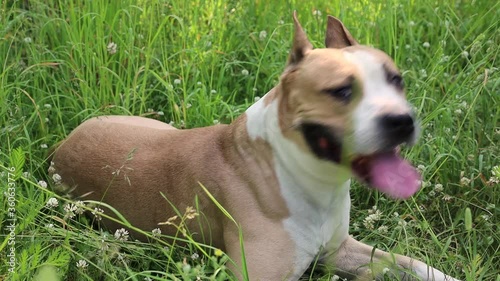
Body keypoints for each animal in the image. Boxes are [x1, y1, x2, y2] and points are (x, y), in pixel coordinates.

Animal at [50, 12, 460, 278]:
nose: (402, 121)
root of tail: (66, 142)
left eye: (397, 80)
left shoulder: (342, 249)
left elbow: (415, 265)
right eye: (341, 91)